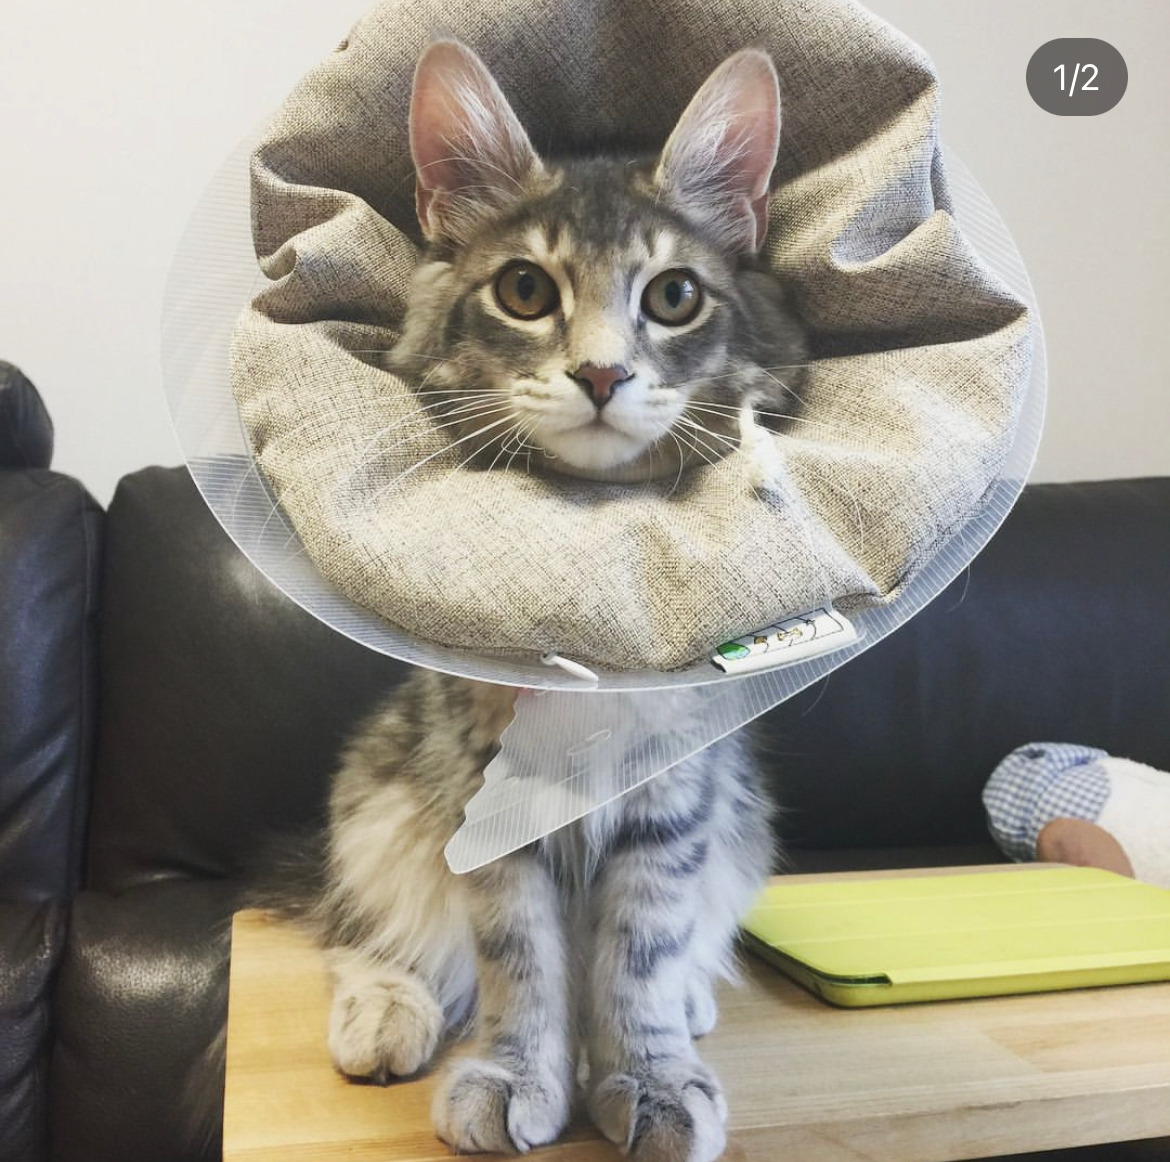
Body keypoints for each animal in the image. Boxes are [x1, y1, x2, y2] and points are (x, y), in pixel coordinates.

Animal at [265, 38, 807, 1162]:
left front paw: (649, 1074)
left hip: (739, 817)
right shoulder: (480, 792)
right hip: (378, 800)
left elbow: (641, 946)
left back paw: (691, 1002)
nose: (601, 373)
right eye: (524, 289)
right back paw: (386, 1011)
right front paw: (519, 1075)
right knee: (367, 931)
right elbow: (516, 957)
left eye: (675, 296)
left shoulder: (675, 792)